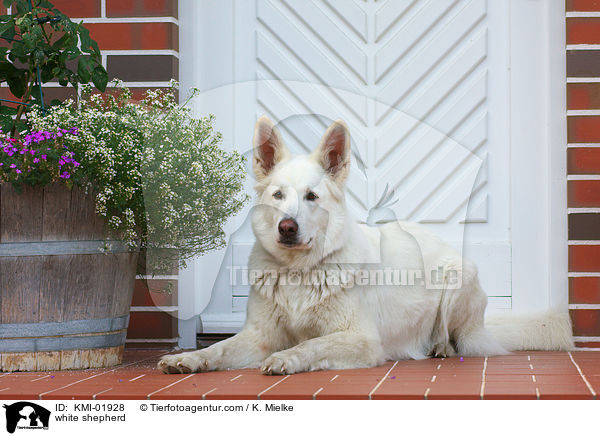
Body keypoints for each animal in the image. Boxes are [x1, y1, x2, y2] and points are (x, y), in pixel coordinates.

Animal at [157, 116, 576, 374]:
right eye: (278, 195)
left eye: (311, 196)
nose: (287, 227)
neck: (299, 274)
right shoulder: (258, 336)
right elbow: (219, 349)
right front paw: (191, 358)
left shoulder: (361, 340)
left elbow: (312, 345)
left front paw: (288, 358)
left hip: (460, 276)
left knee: (456, 338)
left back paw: (440, 347)